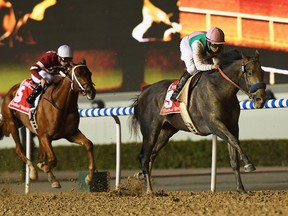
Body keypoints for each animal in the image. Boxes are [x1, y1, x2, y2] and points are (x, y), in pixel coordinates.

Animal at [0, 59, 97, 187]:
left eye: (90, 73)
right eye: (78, 74)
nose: (91, 92)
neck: (61, 106)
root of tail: (11, 91)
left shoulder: (70, 134)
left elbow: (89, 144)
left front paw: (89, 178)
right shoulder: (45, 136)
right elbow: (53, 159)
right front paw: (44, 169)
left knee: (40, 154)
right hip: (12, 123)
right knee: (19, 149)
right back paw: (32, 171)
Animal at [130, 49, 266, 193]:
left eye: (262, 72)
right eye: (250, 72)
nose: (260, 99)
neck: (219, 89)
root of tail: (143, 92)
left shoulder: (233, 126)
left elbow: (234, 156)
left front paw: (241, 189)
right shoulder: (214, 124)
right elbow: (234, 141)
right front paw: (249, 164)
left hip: (166, 131)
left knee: (152, 155)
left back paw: (144, 180)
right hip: (150, 129)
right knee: (144, 156)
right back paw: (149, 190)